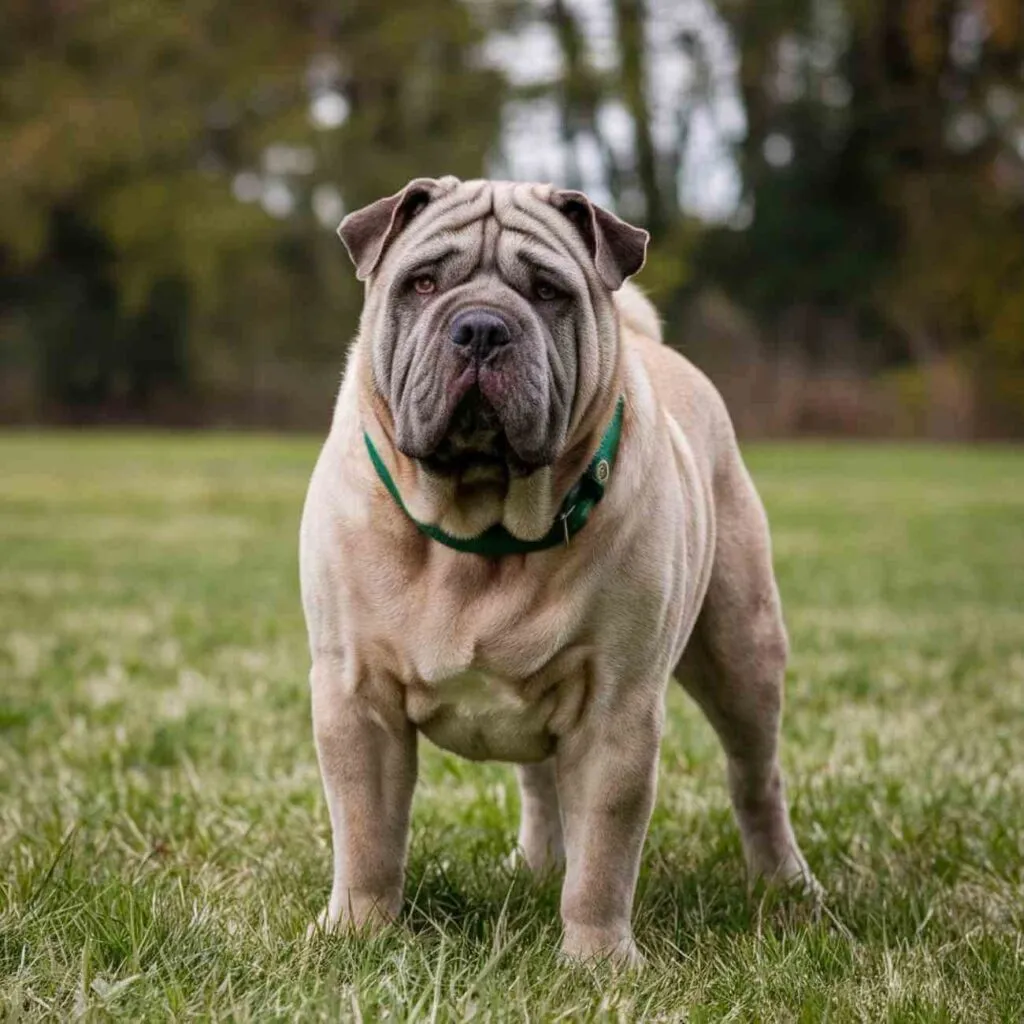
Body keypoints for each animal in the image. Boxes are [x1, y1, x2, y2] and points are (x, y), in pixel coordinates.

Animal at [299, 172, 815, 962]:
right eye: (422, 283)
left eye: (548, 292)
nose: (481, 327)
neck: (481, 524)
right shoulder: (357, 702)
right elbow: (366, 836)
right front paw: (358, 929)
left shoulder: (616, 716)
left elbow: (603, 859)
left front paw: (597, 960)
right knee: (540, 785)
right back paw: (539, 865)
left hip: (743, 655)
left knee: (757, 778)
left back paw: (785, 884)